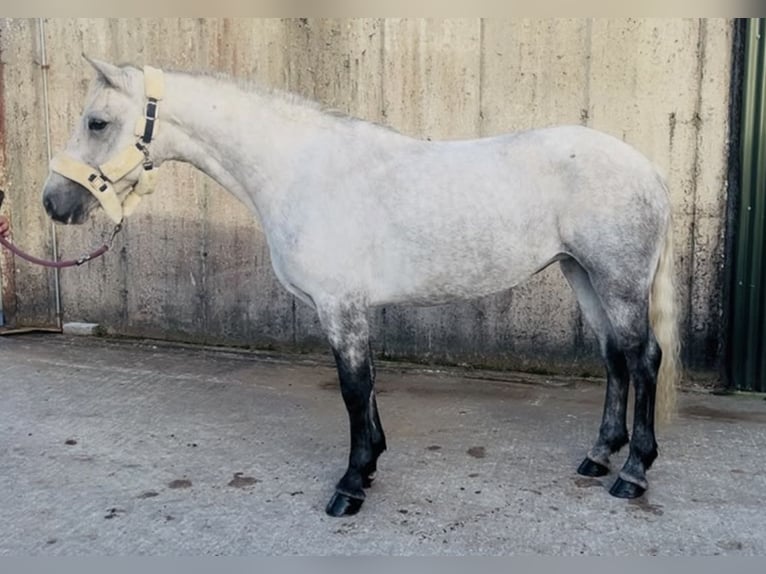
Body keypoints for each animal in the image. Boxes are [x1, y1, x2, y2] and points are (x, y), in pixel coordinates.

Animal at [41, 57, 680, 517]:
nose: (53, 202)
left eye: (97, 122)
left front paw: (349, 486)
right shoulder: (348, 309)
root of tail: (649, 169)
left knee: (643, 358)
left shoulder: (340, 307)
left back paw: (632, 474)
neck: (301, 171)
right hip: (583, 276)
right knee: (614, 358)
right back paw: (598, 457)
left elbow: (353, 389)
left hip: (618, 281)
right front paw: (369, 467)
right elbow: (365, 388)